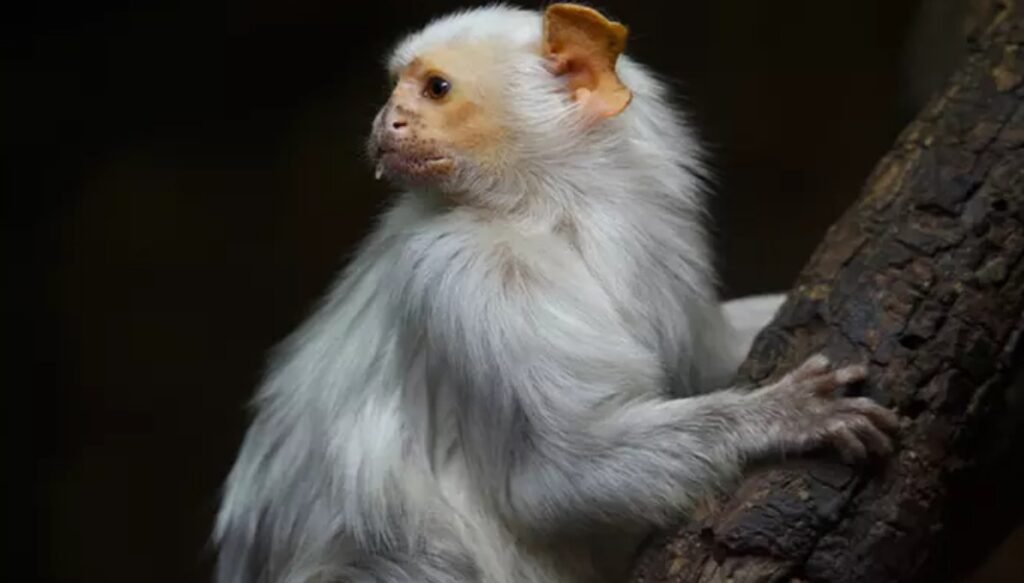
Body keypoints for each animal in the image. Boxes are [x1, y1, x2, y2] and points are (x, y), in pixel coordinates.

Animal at [213, 4, 899, 583]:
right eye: (395, 92)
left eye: (435, 88)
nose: (388, 122)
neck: (557, 210)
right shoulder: (469, 273)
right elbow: (554, 480)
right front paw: (782, 418)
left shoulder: (661, 254)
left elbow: (705, 362)